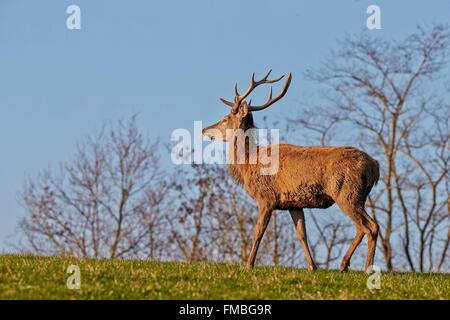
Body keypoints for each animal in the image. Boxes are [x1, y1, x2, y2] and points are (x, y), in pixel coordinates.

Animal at [203, 70, 380, 272]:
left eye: (225, 119)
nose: (204, 130)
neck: (249, 164)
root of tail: (375, 166)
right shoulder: (294, 203)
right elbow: (301, 234)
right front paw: (312, 266)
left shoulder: (266, 197)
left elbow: (258, 231)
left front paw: (248, 264)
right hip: (358, 196)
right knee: (367, 226)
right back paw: (346, 266)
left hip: (346, 192)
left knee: (369, 226)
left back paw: (365, 268)